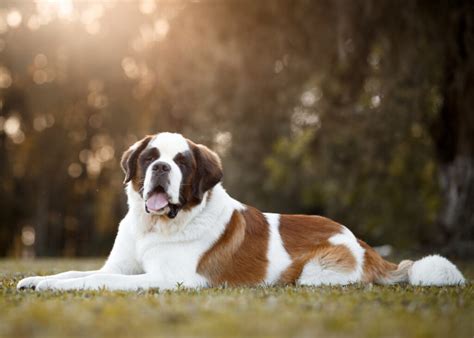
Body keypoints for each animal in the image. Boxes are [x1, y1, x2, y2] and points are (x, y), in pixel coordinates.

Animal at [16, 132, 464, 290]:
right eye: (149, 158)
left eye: (182, 162)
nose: (161, 168)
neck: (156, 227)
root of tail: (366, 245)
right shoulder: (119, 265)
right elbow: (75, 272)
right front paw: (36, 281)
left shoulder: (173, 280)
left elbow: (99, 281)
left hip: (317, 272)